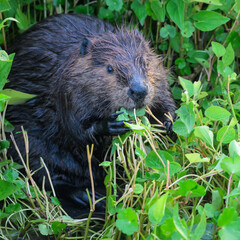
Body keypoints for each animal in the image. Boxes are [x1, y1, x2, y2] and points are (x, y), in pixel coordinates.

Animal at [5, 13, 174, 218]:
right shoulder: (68, 90)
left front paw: (168, 123)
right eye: (109, 68)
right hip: (28, 144)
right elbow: (76, 129)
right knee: (47, 177)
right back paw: (94, 198)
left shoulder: (159, 76)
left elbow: (165, 97)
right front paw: (112, 125)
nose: (139, 90)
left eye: (147, 63)